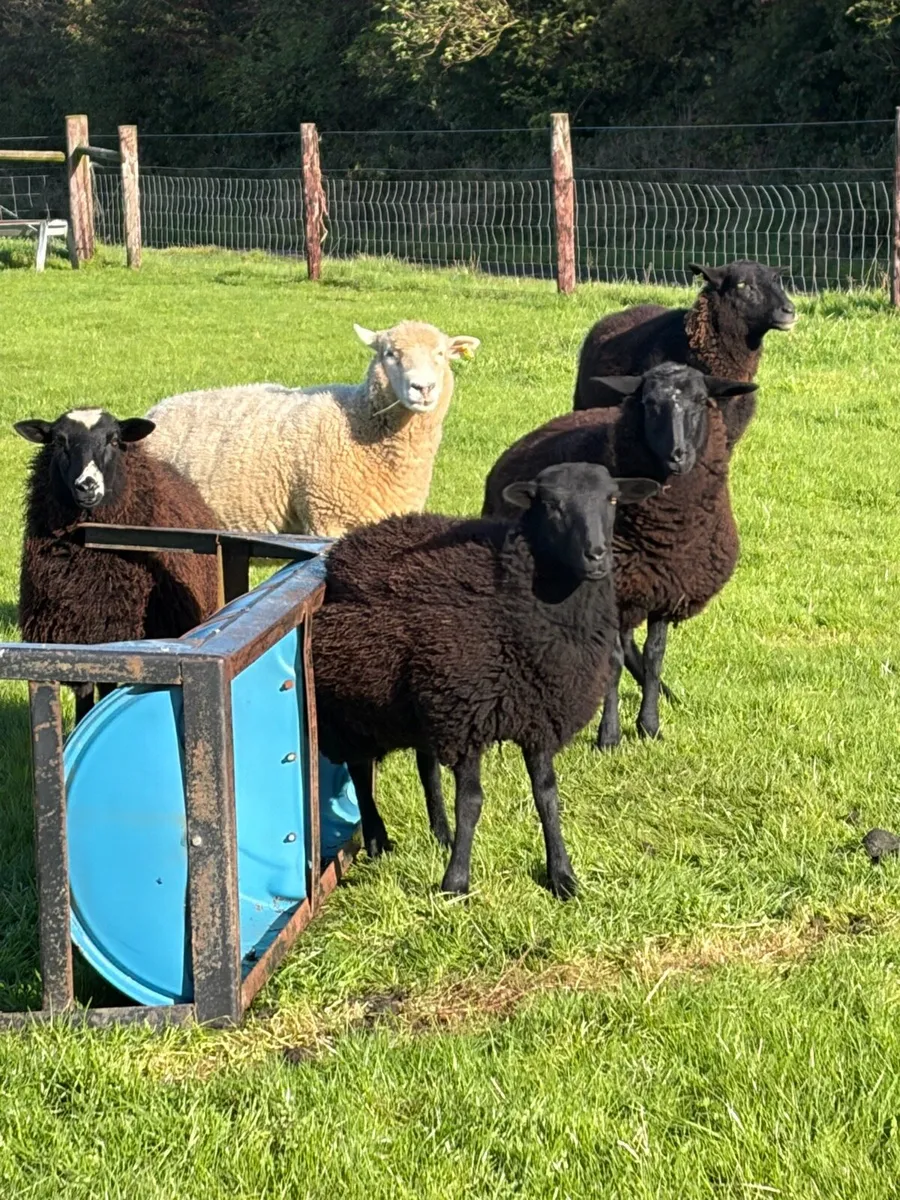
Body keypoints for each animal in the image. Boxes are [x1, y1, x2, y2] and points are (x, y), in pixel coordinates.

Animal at [312, 462, 659, 899]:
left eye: (612, 498)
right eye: (551, 505)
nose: (597, 555)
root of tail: (353, 540)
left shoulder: (537, 713)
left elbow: (547, 795)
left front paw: (562, 876)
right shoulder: (467, 715)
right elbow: (472, 801)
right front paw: (456, 882)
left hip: (419, 703)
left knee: (425, 767)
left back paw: (440, 833)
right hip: (353, 709)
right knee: (360, 771)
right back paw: (378, 840)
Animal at [482, 364, 757, 749]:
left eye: (701, 400)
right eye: (649, 403)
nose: (678, 455)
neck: (668, 532)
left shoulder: (664, 589)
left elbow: (656, 656)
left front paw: (650, 725)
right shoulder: (616, 591)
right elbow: (611, 661)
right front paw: (608, 736)